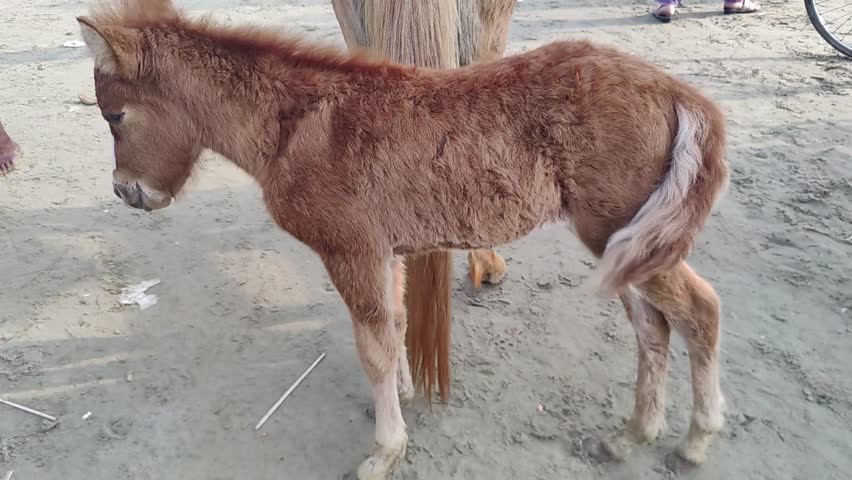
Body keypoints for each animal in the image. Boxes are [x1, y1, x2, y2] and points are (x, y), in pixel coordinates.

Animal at [77, 0, 729, 478]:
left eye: (114, 116)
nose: (126, 192)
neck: (294, 126)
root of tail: (678, 92)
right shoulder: (383, 251)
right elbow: (392, 328)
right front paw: (405, 398)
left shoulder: (351, 251)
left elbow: (373, 345)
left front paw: (384, 450)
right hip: (625, 246)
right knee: (653, 326)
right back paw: (630, 435)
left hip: (618, 233)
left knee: (700, 311)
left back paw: (695, 442)